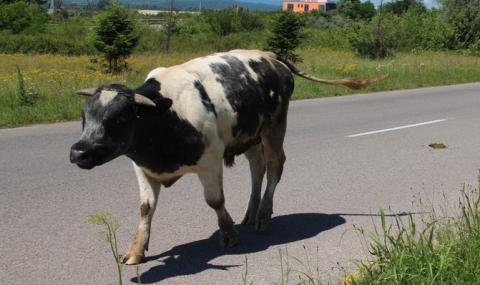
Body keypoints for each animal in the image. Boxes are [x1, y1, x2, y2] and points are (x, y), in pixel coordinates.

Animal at [70, 48, 378, 264]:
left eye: (119, 118)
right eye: (84, 117)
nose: (78, 152)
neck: (165, 117)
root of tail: (269, 55)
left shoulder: (210, 161)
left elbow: (215, 200)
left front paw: (228, 234)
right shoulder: (143, 167)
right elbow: (145, 208)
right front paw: (136, 249)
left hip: (275, 126)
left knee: (275, 167)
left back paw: (263, 215)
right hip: (250, 135)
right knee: (257, 168)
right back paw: (251, 213)